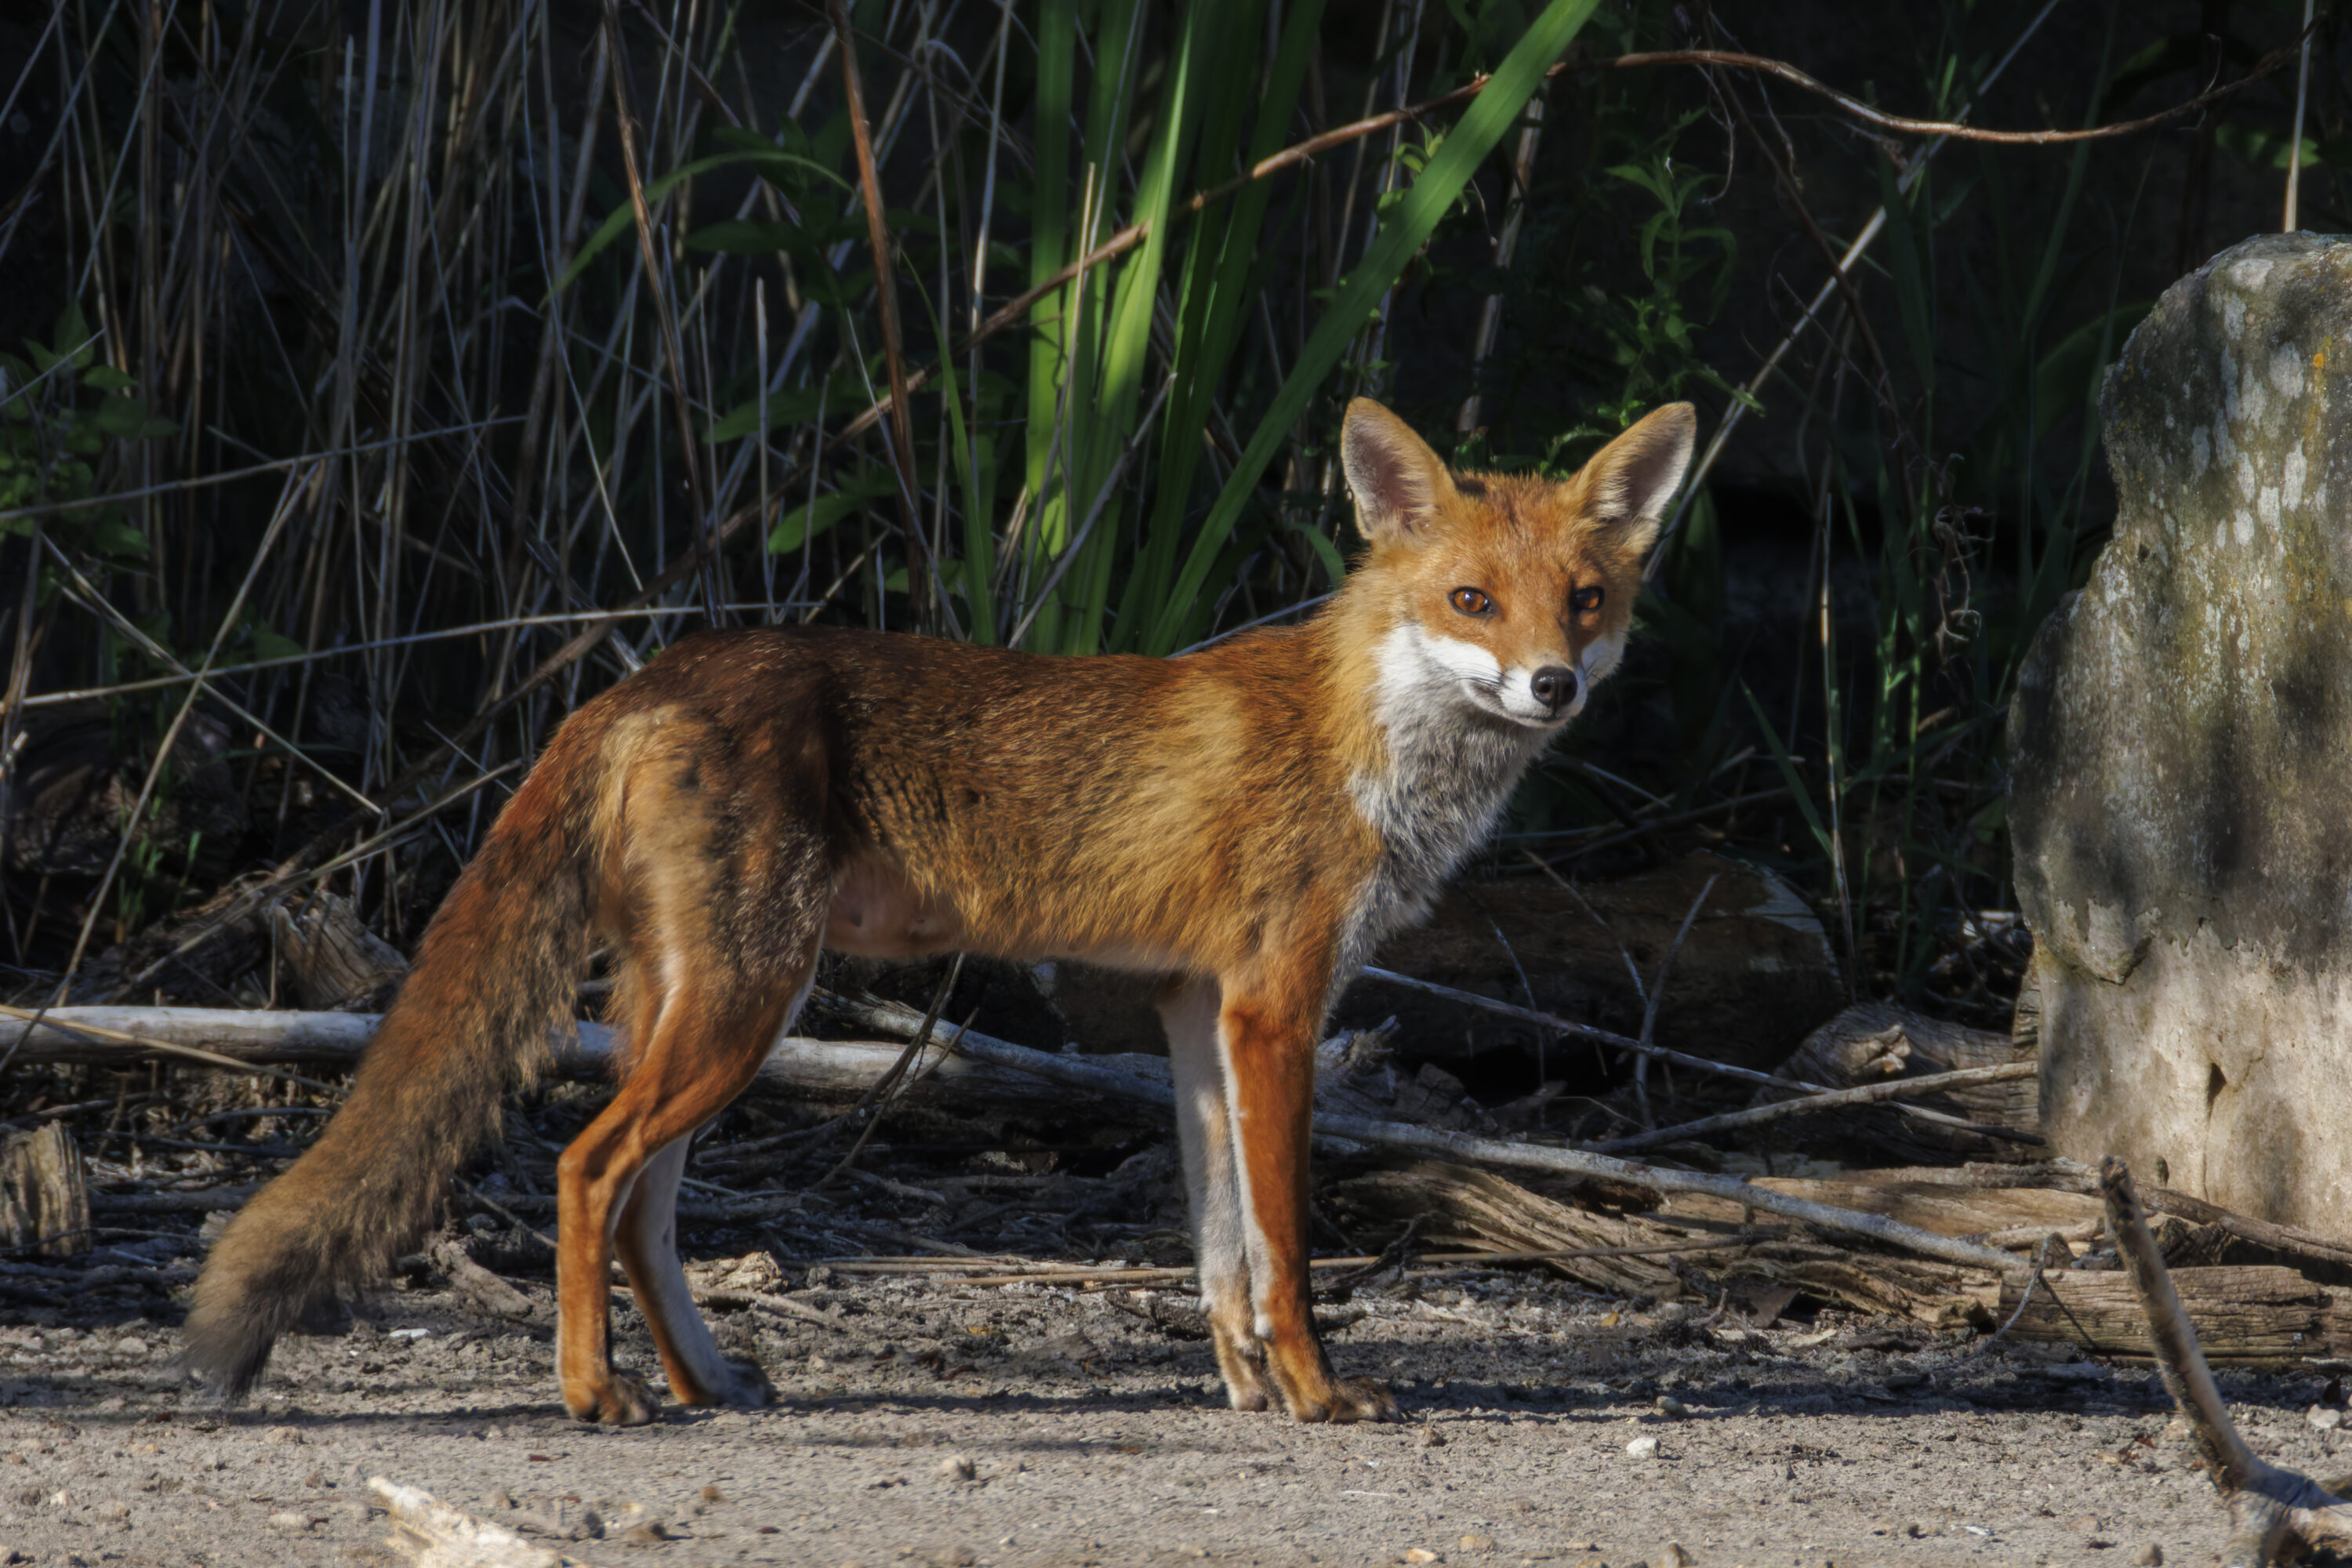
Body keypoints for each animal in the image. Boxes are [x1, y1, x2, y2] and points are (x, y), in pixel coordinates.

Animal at [180, 395, 1696, 1426]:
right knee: (586, 1171)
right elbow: (1286, 1241)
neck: (1368, 739)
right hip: (746, 1002)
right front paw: (1320, 1394)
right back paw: (592, 1393)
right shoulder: (1277, 1002)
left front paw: (1249, 1387)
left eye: (1583, 600)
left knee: (646, 1209)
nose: (1553, 685)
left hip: (707, 1005)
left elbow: (1220, 1242)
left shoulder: (1195, 1007)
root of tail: (638, 681)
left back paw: (702, 1380)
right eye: (1471, 600)